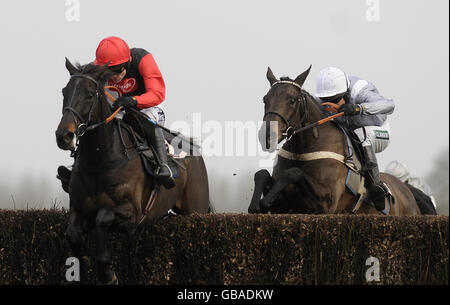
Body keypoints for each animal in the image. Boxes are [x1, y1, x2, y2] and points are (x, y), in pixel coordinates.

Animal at [55, 58, 210, 282]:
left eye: (90, 94)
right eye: (64, 92)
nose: (63, 136)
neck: (99, 161)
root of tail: (193, 149)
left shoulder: (132, 215)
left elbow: (103, 217)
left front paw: (107, 272)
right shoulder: (78, 208)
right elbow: (72, 234)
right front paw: (82, 265)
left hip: (195, 210)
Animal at [248, 65, 424, 215]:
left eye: (292, 100)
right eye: (265, 99)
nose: (267, 136)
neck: (304, 149)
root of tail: (408, 192)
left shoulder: (325, 202)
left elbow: (294, 172)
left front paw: (264, 201)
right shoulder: (282, 207)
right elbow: (262, 173)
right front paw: (256, 204)